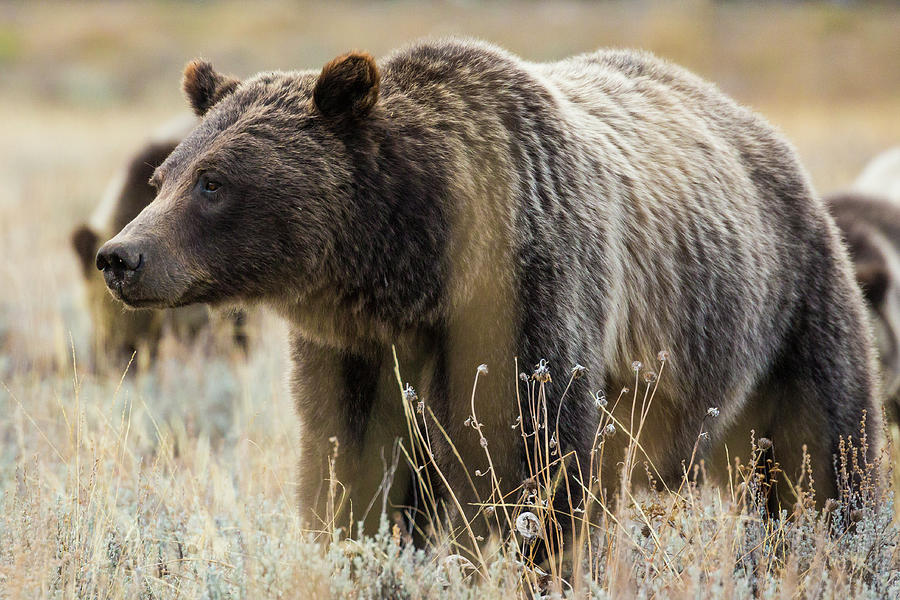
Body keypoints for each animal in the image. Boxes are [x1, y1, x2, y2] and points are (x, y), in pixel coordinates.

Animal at [96, 39, 880, 532]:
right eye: (165, 177)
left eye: (213, 183)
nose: (121, 256)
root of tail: (761, 131)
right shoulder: (354, 351)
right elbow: (347, 469)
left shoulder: (531, 290)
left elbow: (540, 469)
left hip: (787, 310)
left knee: (828, 457)